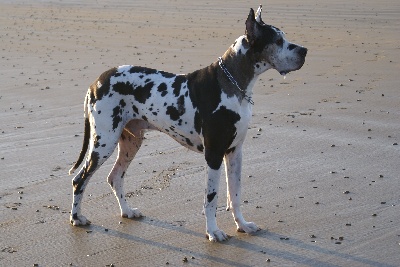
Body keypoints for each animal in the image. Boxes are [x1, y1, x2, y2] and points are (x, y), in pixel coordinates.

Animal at [69, 4, 308, 243]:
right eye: (278, 40)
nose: (304, 50)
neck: (233, 84)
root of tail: (96, 82)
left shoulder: (235, 152)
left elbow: (235, 194)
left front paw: (242, 225)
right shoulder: (214, 154)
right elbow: (211, 198)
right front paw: (213, 231)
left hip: (130, 142)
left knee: (115, 177)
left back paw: (127, 211)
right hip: (104, 142)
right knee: (79, 179)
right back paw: (76, 218)